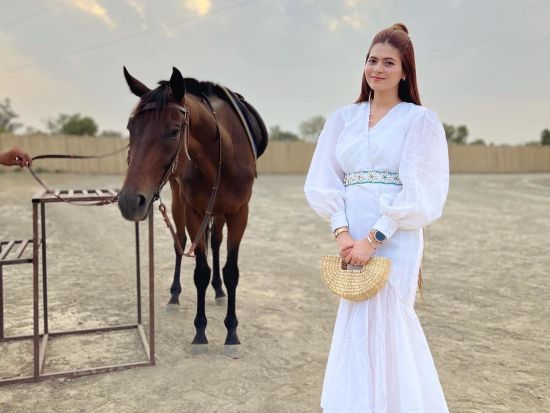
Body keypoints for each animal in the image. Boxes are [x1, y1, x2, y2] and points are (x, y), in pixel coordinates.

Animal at [118, 67, 270, 350]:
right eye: (131, 128)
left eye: (174, 131)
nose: (130, 201)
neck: (223, 153)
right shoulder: (194, 212)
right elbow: (200, 271)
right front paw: (200, 332)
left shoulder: (239, 213)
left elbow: (231, 271)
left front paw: (232, 332)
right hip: (179, 204)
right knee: (180, 242)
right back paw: (174, 296)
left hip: (220, 210)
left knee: (216, 243)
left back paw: (219, 290)